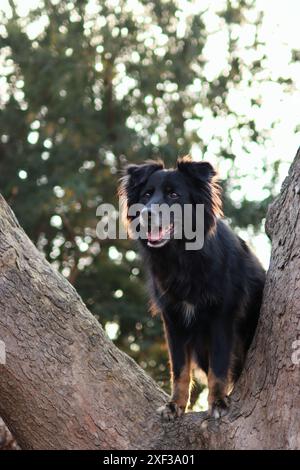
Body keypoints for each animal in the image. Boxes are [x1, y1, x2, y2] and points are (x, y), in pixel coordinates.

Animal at [118, 157, 266, 418]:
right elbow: (179, 370)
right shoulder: (173, 319)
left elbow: (219, 367)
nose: (146, 215)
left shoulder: (221, 317)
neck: (182, 255)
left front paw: (218, 402)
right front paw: (174, 405)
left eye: (174, 194)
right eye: (147, 195)